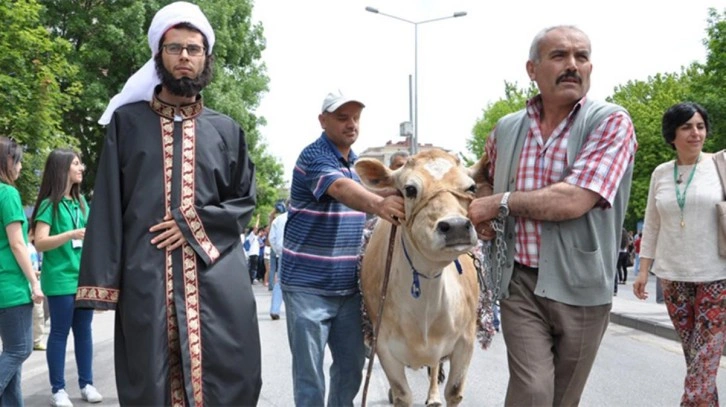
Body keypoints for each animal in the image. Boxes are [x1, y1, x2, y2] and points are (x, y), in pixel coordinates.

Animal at [356, 151, 490, 407]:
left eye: (471, 187)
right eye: (410, 189)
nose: (456, 226)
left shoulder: (464, 343)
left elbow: (453, 390)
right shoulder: (384, 348)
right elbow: (402, 394)